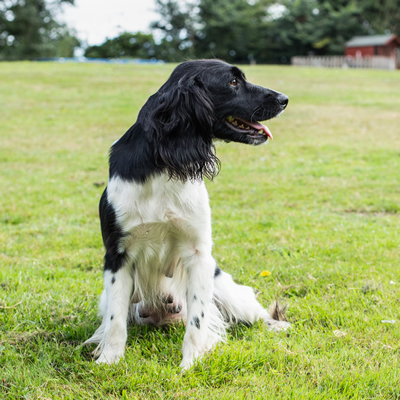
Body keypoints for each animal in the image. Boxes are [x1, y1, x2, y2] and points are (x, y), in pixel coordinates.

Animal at [85, 58, 290, 368]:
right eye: (233, 82)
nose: (284, 99)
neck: (164, 163)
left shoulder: (198, 254)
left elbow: (197, 320)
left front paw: (190, 363)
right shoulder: (117, 255)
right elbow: (115, 319)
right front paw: (110, 359)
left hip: (225, 287)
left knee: (253, 312)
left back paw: (277, 325)